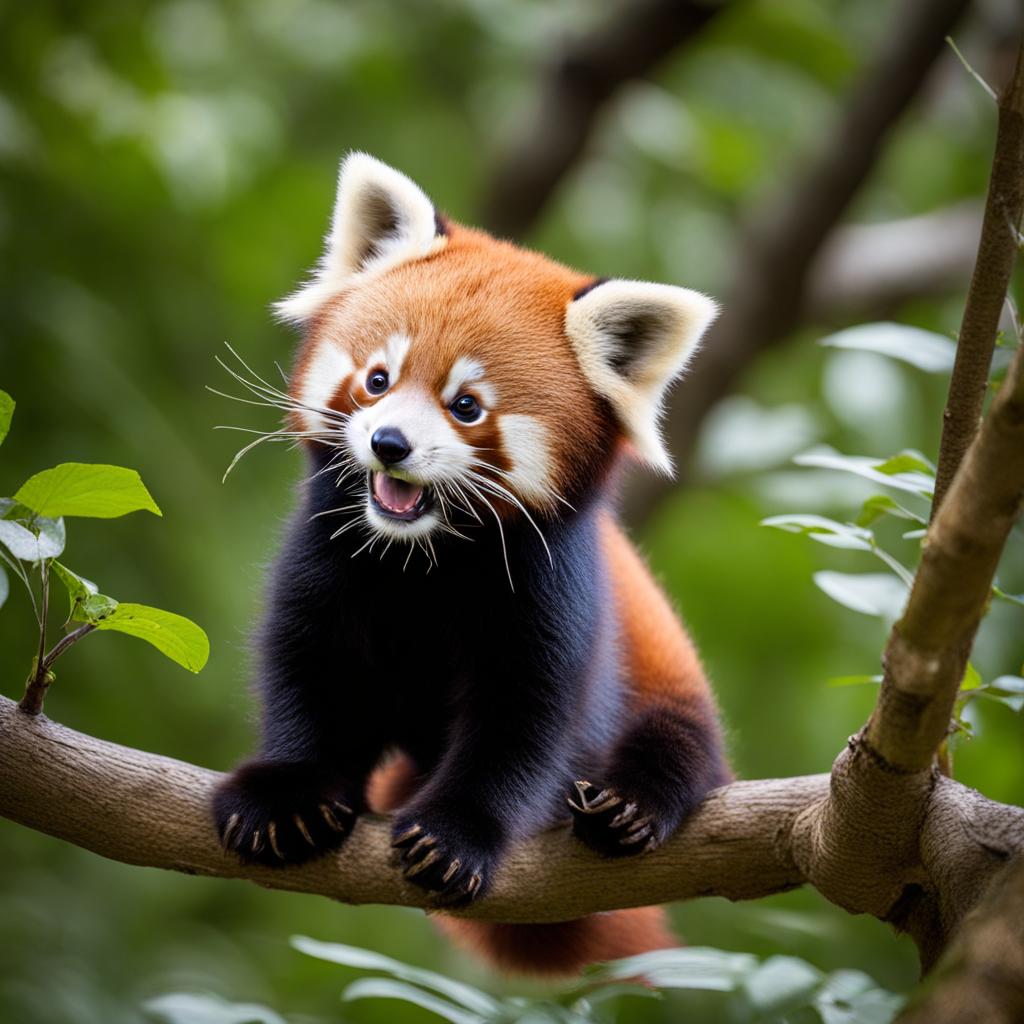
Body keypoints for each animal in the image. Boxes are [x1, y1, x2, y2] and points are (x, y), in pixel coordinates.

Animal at [214, 151, 729, 974]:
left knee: (682, 743)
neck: (422, 559)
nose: (390, 443)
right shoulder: (323, 557)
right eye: (378, 379)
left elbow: (523, 724)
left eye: (466, 406)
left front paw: (455, 837)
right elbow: (310, 668)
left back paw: (628, 804)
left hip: (669, 674)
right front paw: (286, 793)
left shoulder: (552, 592)